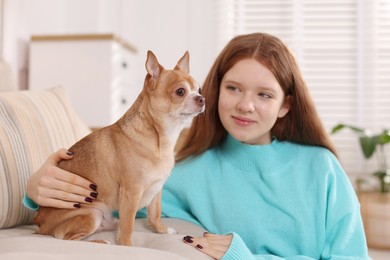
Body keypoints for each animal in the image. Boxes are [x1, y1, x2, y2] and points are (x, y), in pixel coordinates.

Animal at [34, 50, 206, 246]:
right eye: (180, 92)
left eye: (199, 90)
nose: (202, 99)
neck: (161, 139)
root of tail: (39, 225)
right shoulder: (132, 192)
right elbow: (128, 225)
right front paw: (127, 246)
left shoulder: (157, 190)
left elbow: (154, 215)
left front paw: (162, 231)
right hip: (91, 214)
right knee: (71, 240)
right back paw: (101, 242)